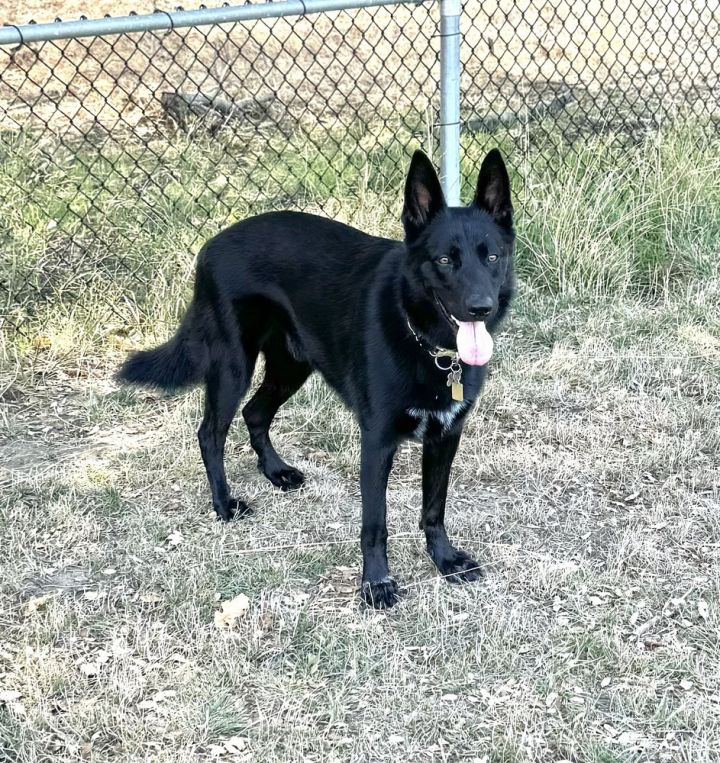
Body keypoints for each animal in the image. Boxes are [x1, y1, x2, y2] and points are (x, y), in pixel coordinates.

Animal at [116, 149, 512, 608]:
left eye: (492, 257)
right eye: (445, 260)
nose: (480, 307)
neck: (429, 344)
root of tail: (211, 245)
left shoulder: (446, 436)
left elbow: (434, 508)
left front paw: (444, 560)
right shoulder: (377, 442)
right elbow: (375, 523)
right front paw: (376, 583)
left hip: (291, 367)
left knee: (255, 413)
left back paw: (276, 472)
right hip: (233, 366)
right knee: (210, 432)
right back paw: (224, 504)